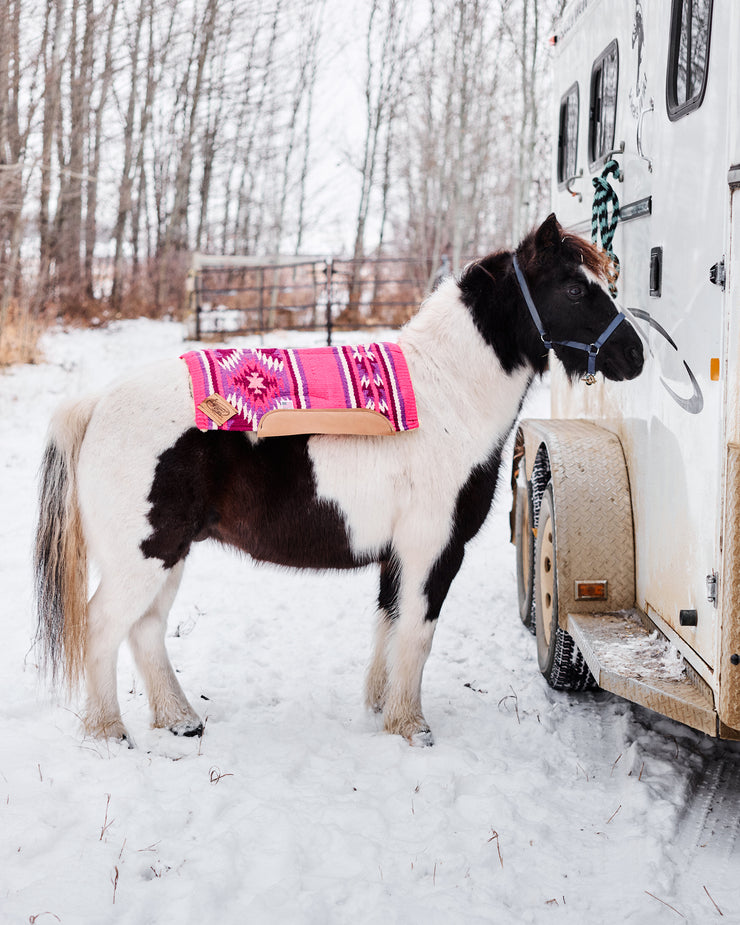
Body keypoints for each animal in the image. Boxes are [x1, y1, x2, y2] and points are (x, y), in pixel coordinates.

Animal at [34, 217, 644, 752]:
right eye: (574, 288)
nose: (634, 355)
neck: (448, 393)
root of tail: (99, 403)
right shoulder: (433, 550)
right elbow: (417, 634)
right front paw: (411, 728)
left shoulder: (398, 556)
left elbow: (389, 625)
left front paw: (380, 709)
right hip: (145, 556)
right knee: (103, 628)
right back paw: (109, 733)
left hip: (168, 553)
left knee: (146, 630)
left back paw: (179, 721)